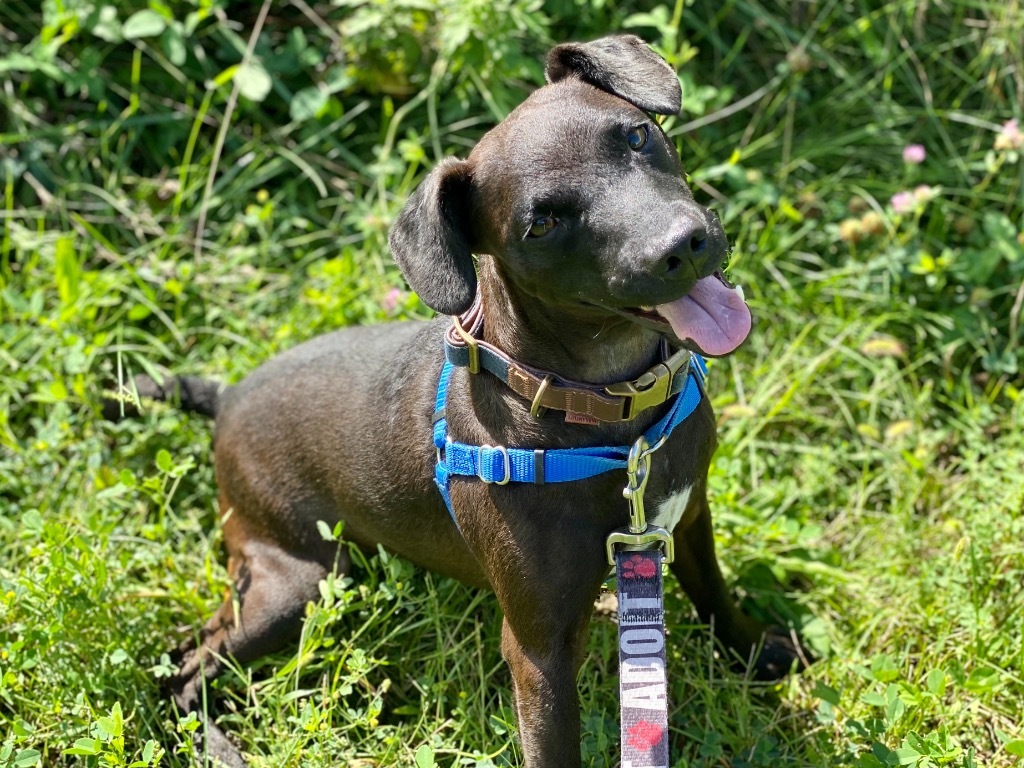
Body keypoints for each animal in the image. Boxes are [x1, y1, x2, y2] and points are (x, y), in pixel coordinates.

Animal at [123, 34, 802, 768]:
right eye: (543, 223)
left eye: (637, 135)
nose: (683, 245)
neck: (612, 419)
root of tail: (227, 399)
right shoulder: (538, 650)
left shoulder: (688, 516)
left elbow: (714, 593)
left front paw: (757, 652)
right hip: (290, 581)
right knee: (187, 666)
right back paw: (215, 742)